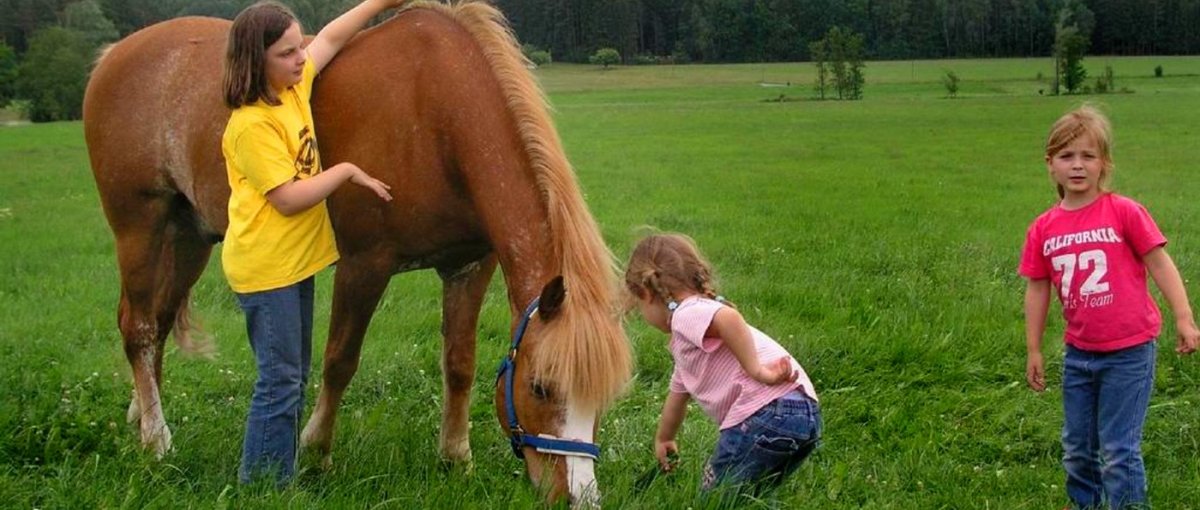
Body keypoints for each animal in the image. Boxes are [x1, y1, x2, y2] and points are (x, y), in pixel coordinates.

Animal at [81, 0, 633, 504]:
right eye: (540, 388)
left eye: (604, 398)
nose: (579, 496)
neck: (437, 114)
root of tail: (114, 55)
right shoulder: (365, 265)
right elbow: (339, 360)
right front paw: (315, 453)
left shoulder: (469, 265)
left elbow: (459, 362)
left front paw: (456, 458)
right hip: (139, 226)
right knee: (139, 327)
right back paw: (157, 440)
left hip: (188, 235)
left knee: (157, 321)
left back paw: (140, 417)